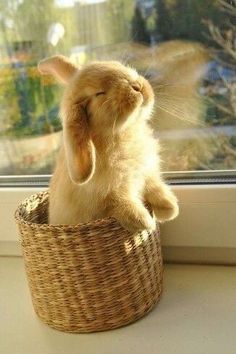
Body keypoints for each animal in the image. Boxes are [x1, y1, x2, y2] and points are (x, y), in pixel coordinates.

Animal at [38, 55, 179, 232]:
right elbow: (120, 204)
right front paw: (144, 222)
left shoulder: (146, 173)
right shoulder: (109, 195)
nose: (137, 86)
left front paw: (170, 208)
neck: (122, 133)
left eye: (119, 66)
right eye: (99, 93)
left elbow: (155, 188)